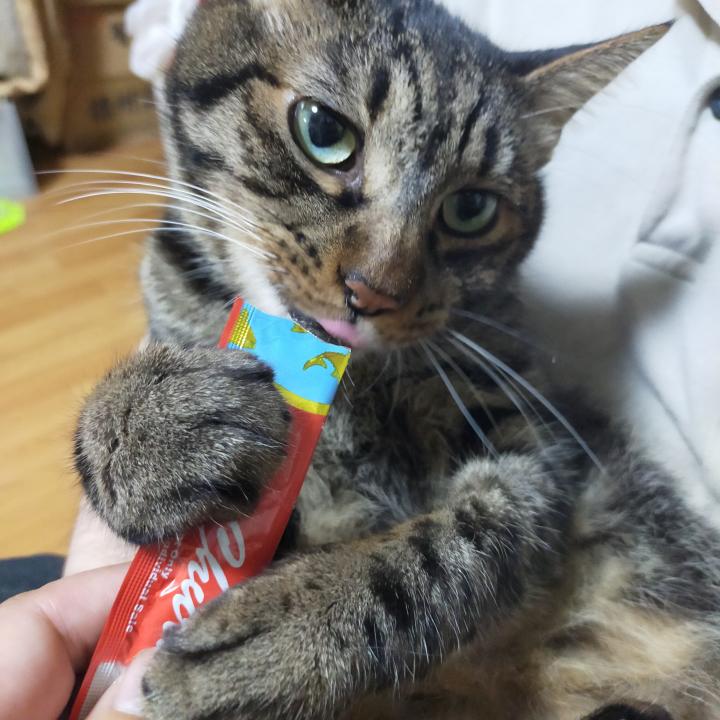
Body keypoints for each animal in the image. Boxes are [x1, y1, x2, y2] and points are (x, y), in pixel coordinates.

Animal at [73, 1, 720, 719]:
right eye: (324, 132)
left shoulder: (537, 451)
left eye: (472, 208)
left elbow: (451, 550)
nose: (374, 291)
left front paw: (289, 633)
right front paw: (148, 424)